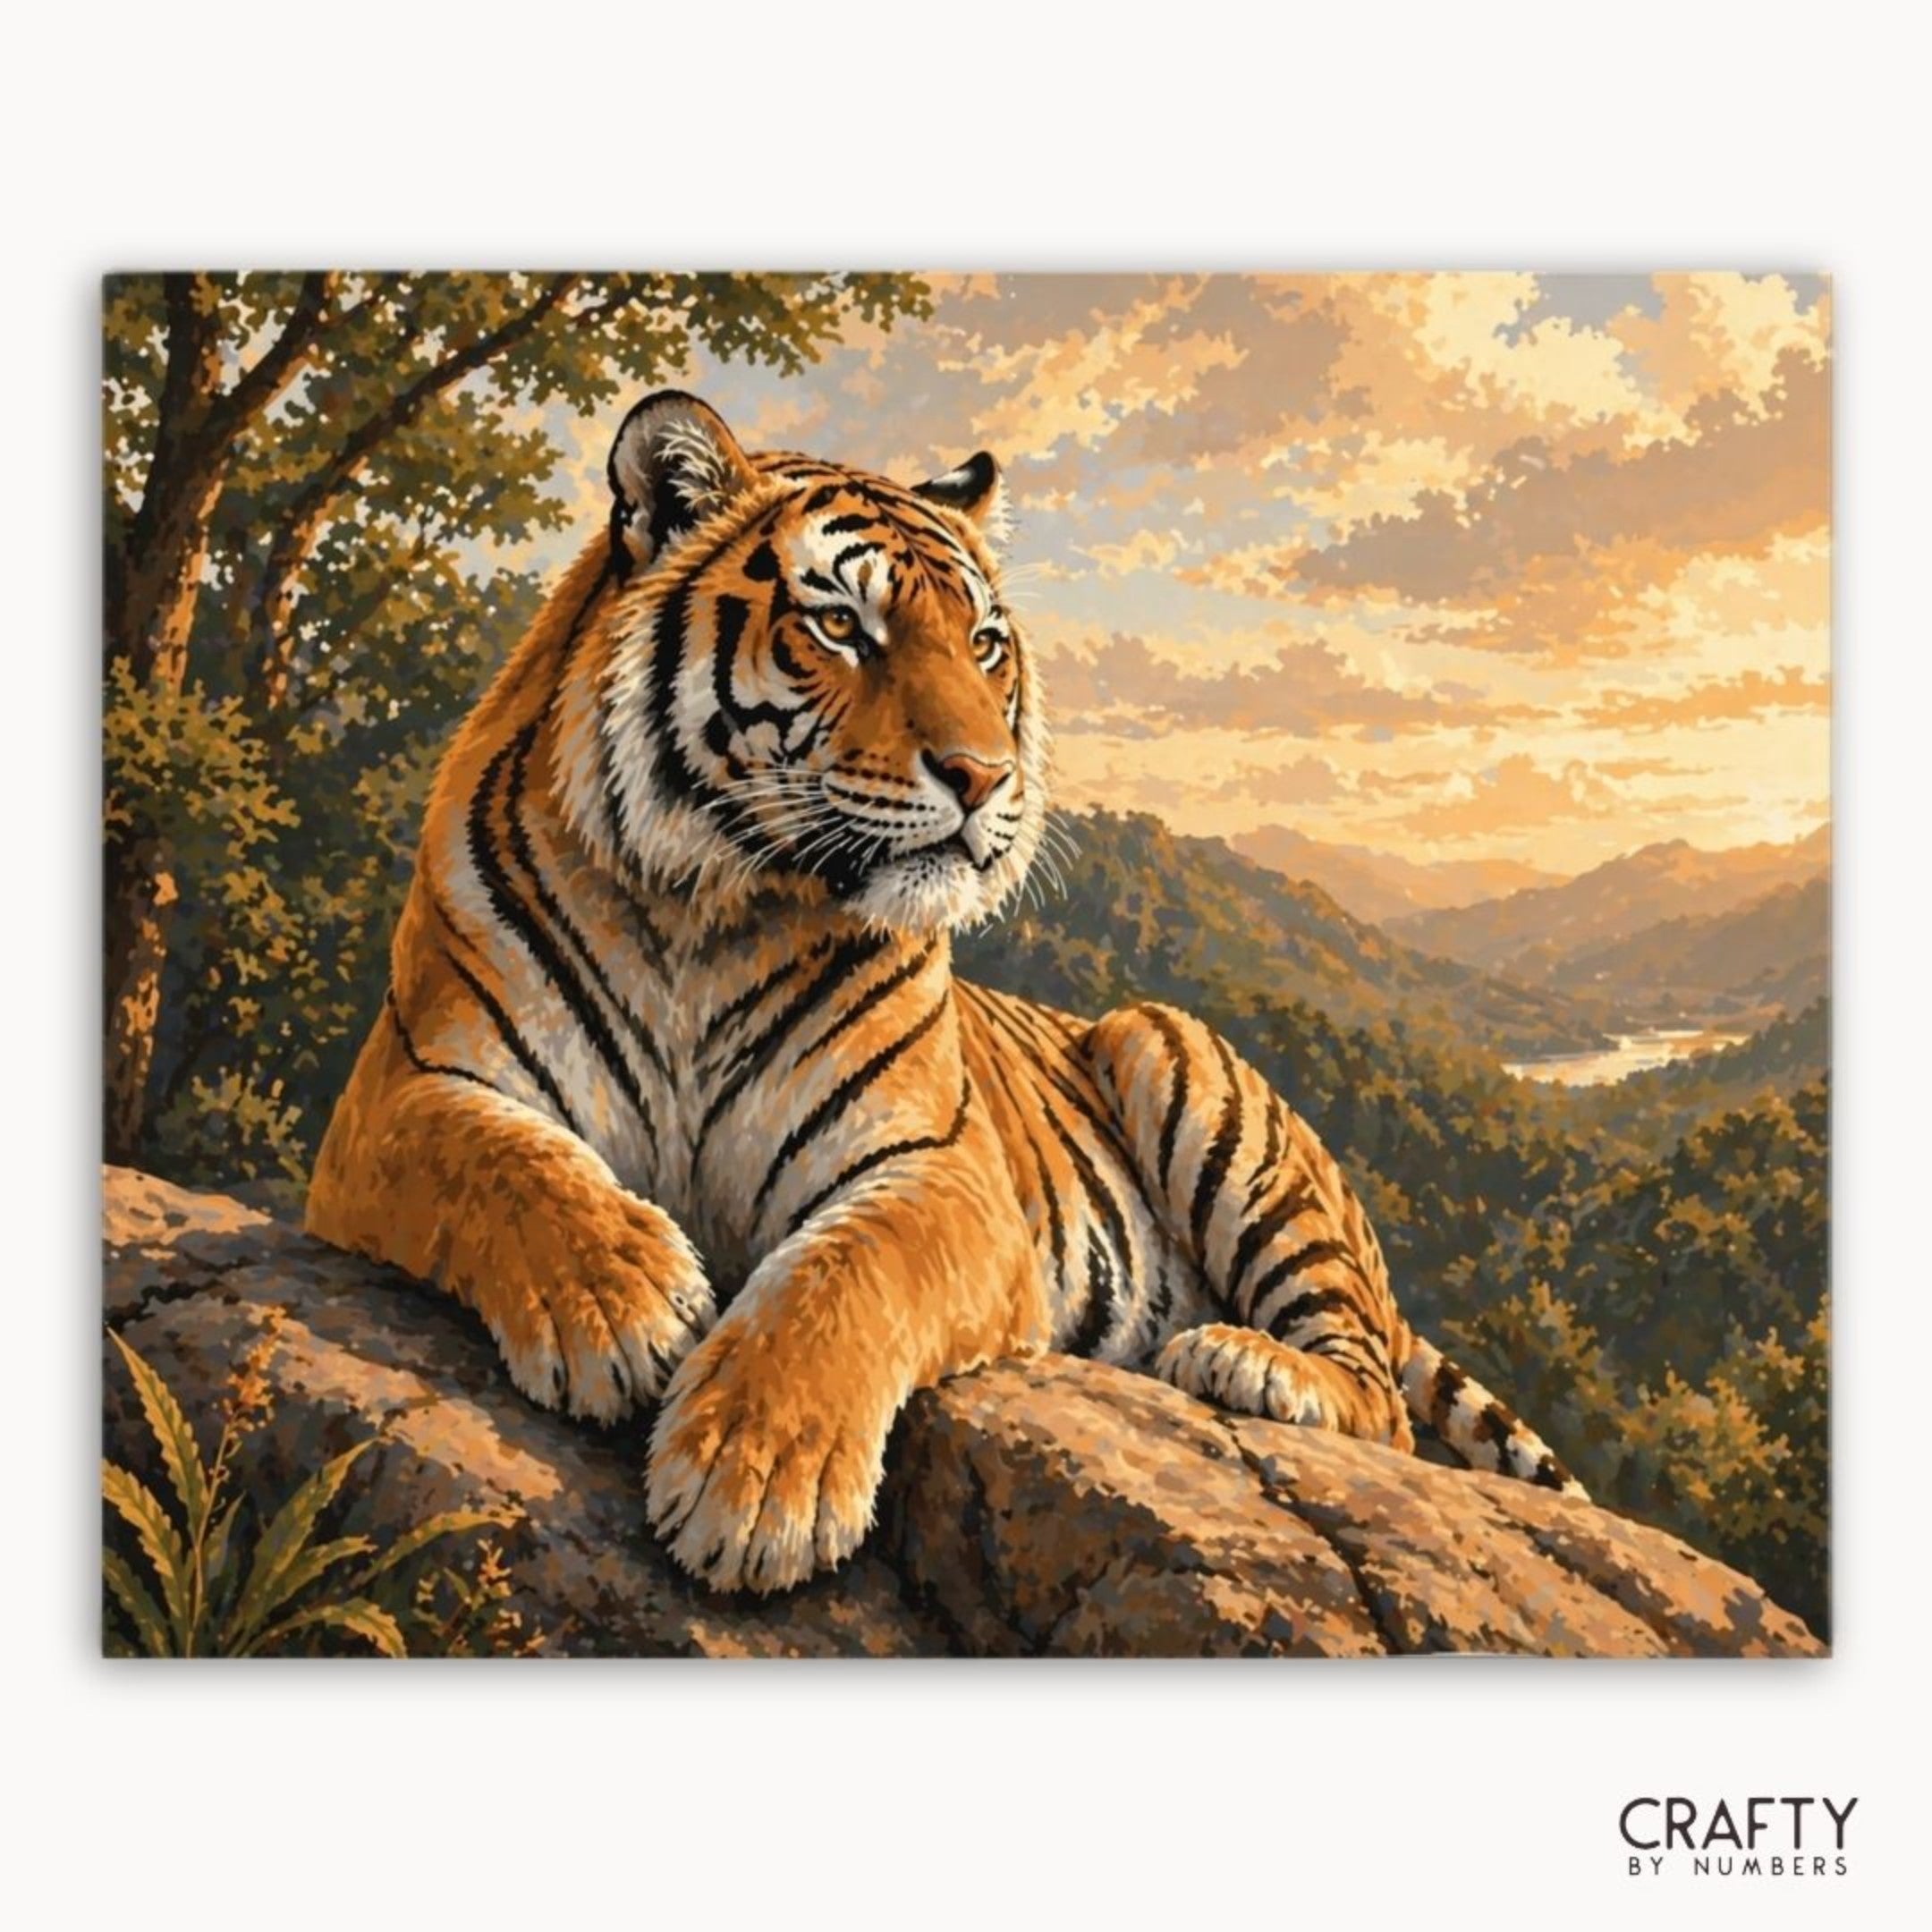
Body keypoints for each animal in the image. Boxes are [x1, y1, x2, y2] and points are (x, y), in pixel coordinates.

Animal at [307, 388, 1585, 1598]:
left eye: (982, 643)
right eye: (839, 624)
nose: (984, 777)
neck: (706, 911)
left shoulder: (942, 1170)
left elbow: (845, 1277)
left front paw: (755, 1486)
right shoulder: (403, 1092)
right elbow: (504, 1162)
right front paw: (623, 1300)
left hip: (1176, 1060)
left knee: (1383, 1399)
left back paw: (1244, 1362)